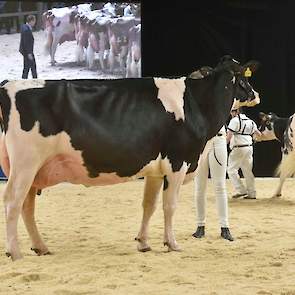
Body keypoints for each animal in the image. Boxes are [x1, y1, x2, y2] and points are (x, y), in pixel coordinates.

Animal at [0, 56, 260, 262]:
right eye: (243, 78)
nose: (256, 94)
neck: (197, 104)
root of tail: (9, 85)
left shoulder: (155, 170)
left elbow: (149, 205)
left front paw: (143, 243)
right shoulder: (177, 162)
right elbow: (169, 205)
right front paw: (172, 243)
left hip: (34, 169)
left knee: (26, 206)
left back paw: (40, 247)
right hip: (25, 164)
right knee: (13, 201)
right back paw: (15, 252)